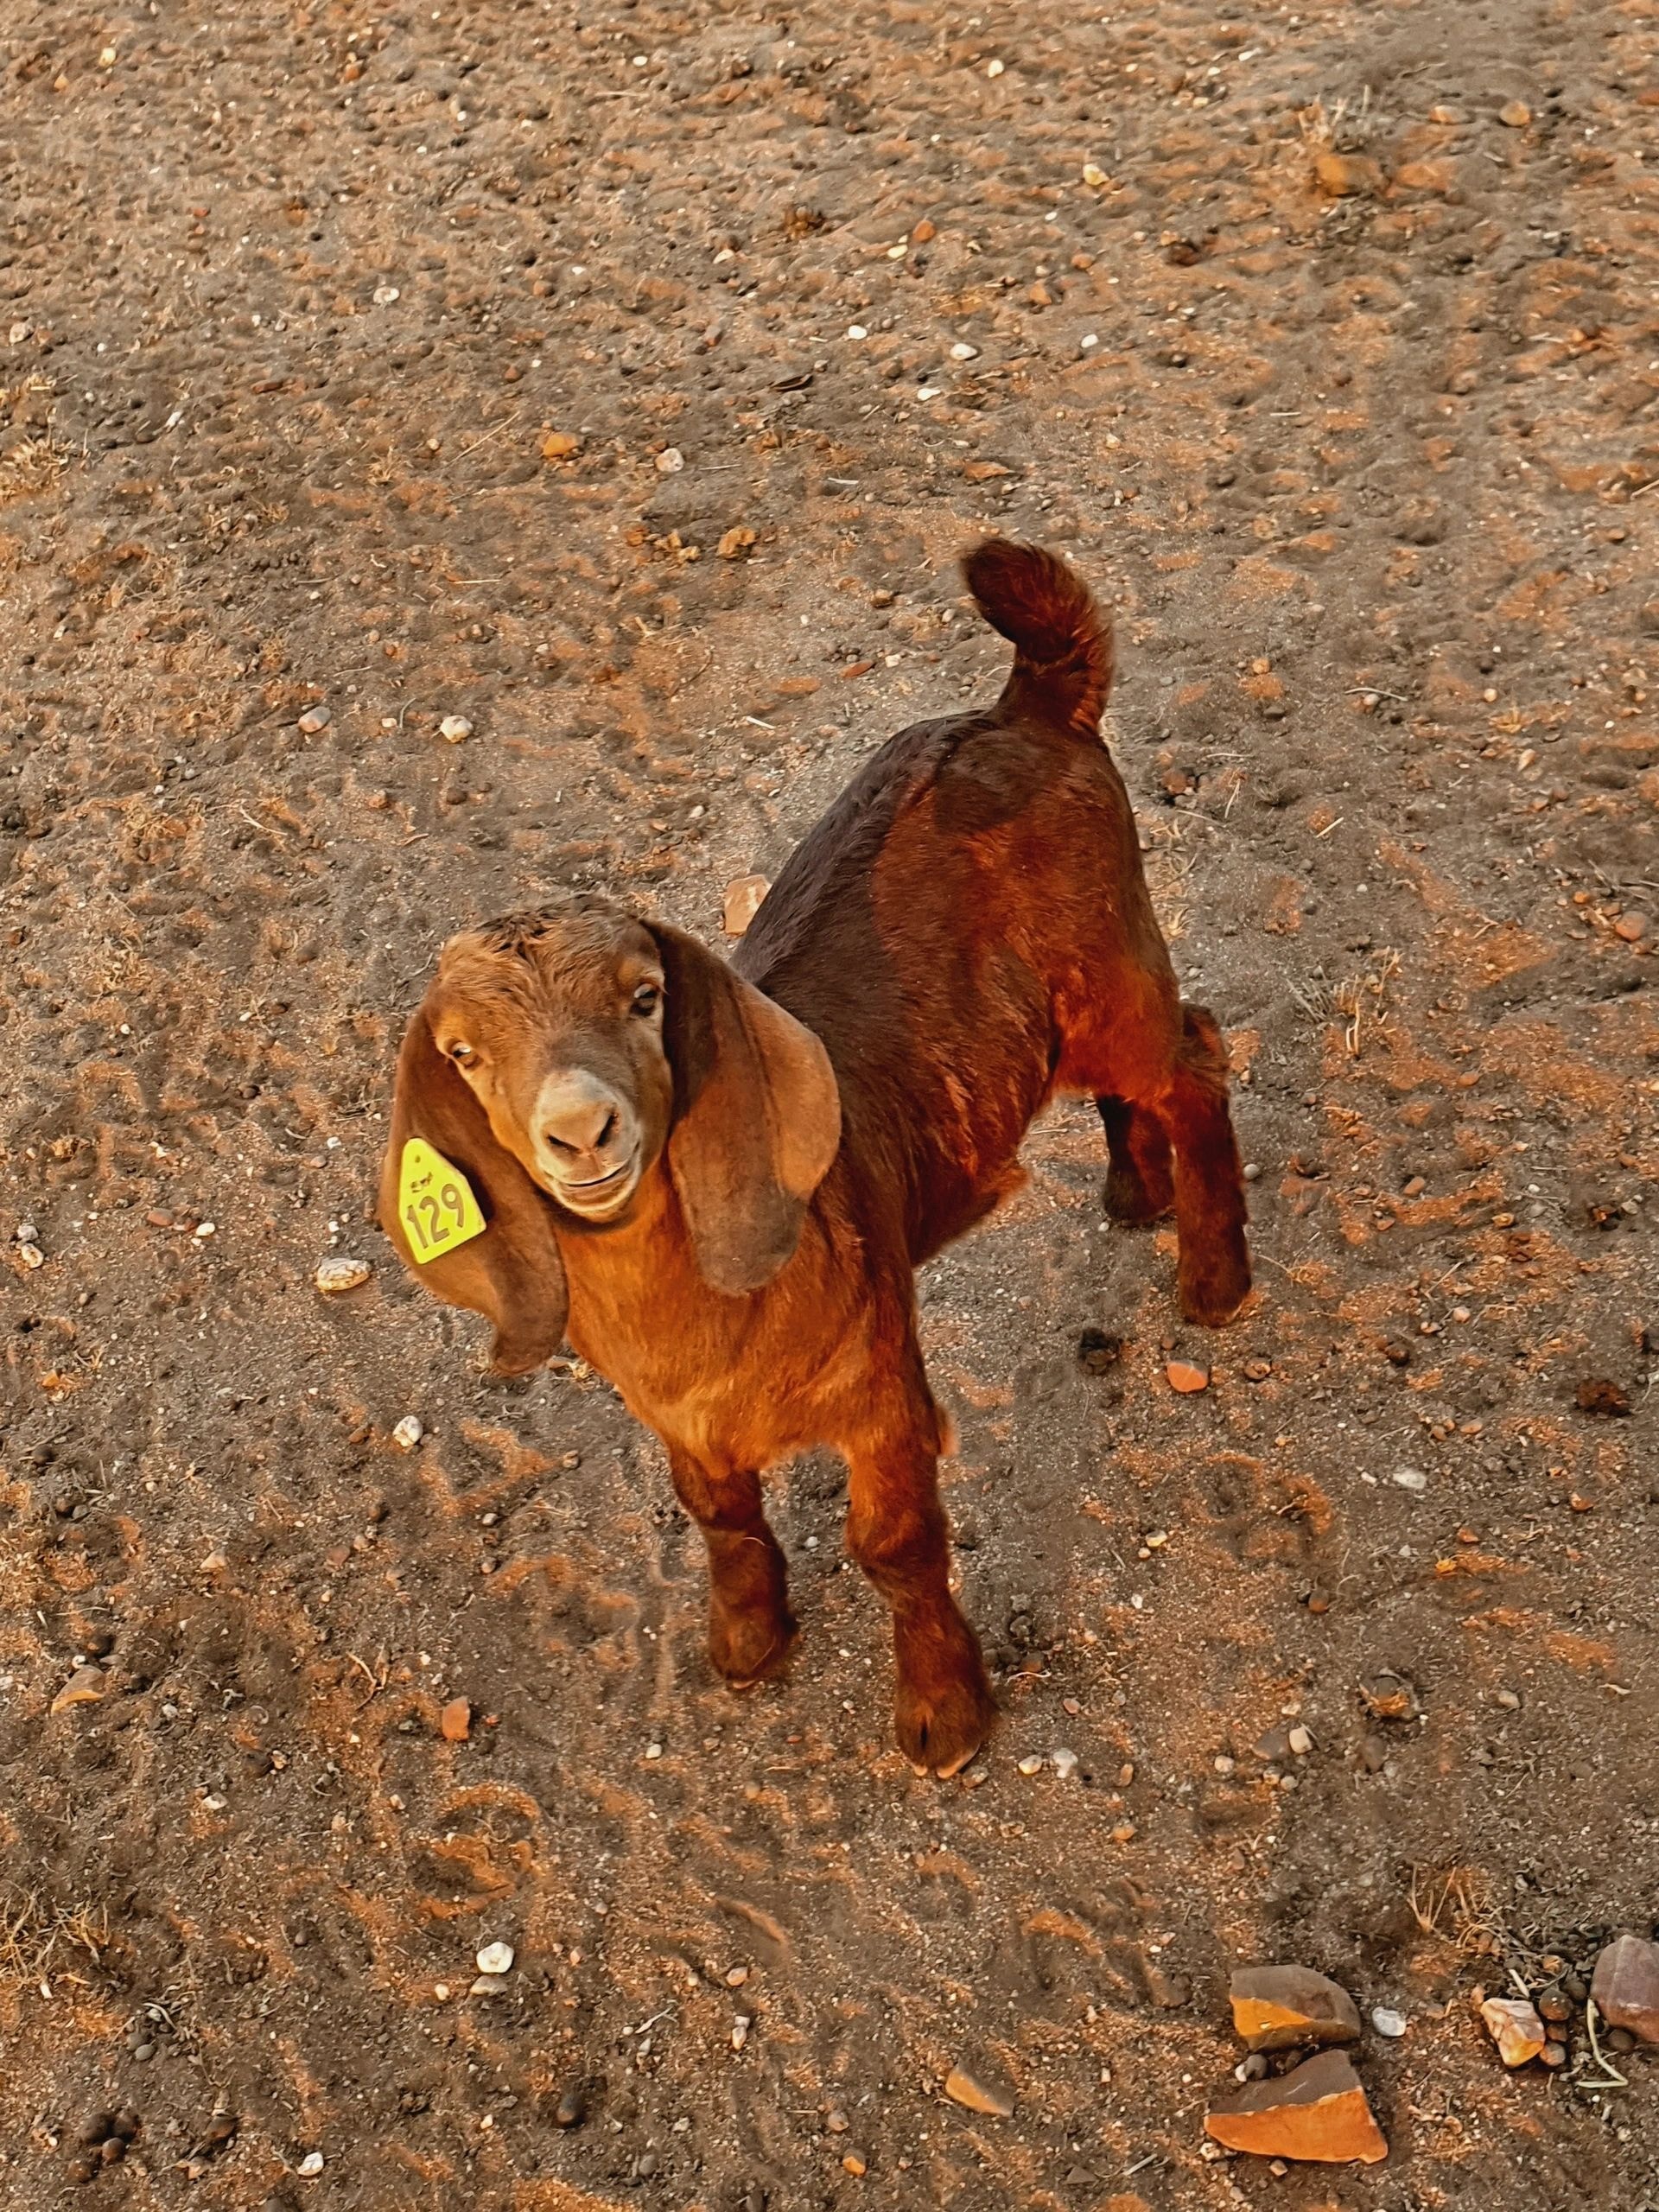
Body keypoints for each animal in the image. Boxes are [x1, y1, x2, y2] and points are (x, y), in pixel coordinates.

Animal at [381, 539, 1250, 1776]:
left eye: (645, 998)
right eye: (461, 1052)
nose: (581, 1130)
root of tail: (1024, 704)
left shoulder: (880, 1382)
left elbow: (894, 1543)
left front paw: (943, 1716)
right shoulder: (680, 1423)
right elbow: (722, 1518)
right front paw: (749, 1645)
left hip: (1114, 962)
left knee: (1195, 1060)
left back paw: (1215, 1277)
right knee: (1131, 1087)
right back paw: (1136, 1193)